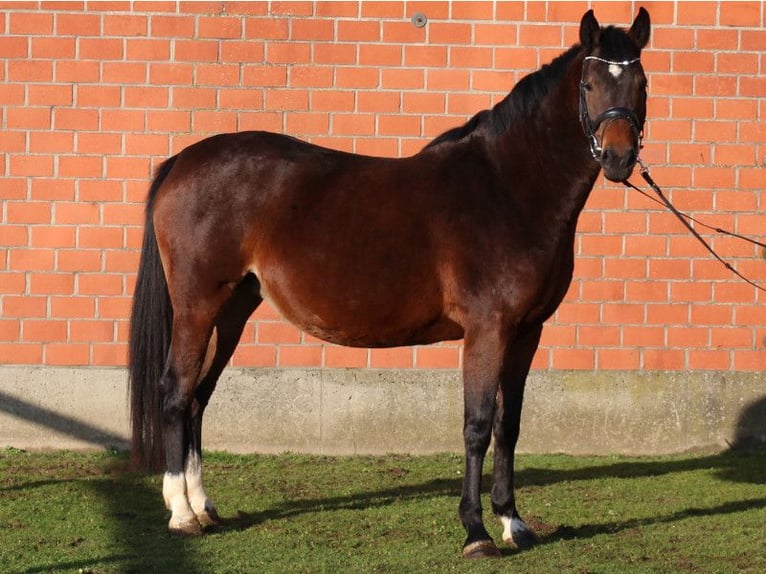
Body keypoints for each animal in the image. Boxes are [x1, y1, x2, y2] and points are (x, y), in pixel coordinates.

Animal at [129, 8, 651, 559]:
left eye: (641, 83)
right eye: (590, 84)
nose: (618, 158)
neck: (507, 187)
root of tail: (182, 162)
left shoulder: (527, 331)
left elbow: (508, 426)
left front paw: (514, 522)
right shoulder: (488, 330)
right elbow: (477, 425)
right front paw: (476, 531)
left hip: (231, 309)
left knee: (199, 397)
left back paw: (204, 507)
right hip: (197, 306)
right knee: (176, 393)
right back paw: (182, 513)